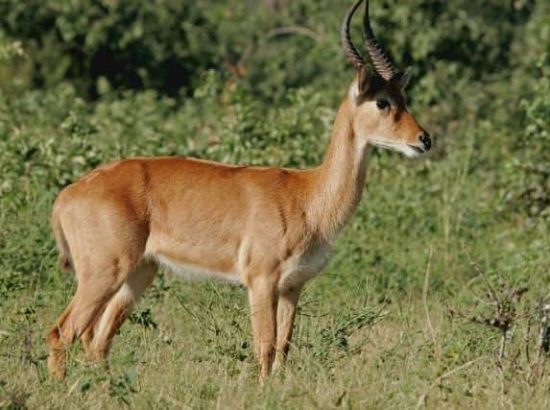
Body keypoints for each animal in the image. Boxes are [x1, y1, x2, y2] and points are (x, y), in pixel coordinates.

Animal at [47, 0, 434, 382]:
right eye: (382, 101)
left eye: (403, 95)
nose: (423, 139)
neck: (308, 198)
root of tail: (67, 194)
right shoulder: (260, 280)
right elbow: (265, 347)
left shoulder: (292, 287)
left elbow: (283, 350)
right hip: (103, 272)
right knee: (62, 332)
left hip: (139, 274)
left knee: (97, 341)